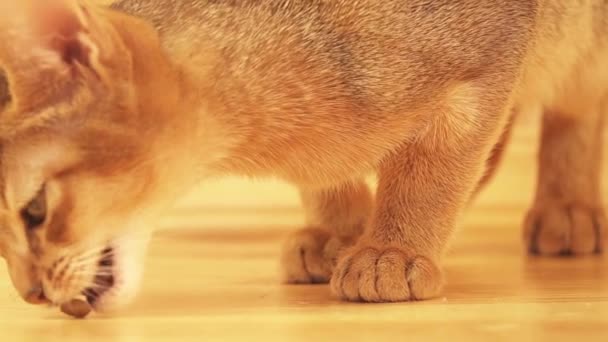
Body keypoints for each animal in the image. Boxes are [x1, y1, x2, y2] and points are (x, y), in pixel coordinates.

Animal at [0, 0, 604, 314]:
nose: (30, 296)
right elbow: (327, 179)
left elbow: (431, 174)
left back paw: (568, 211)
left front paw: (392, 249)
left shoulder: (484, 70)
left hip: (584, 37)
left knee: (577, 108)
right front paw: (340, 231)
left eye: (36, 210)